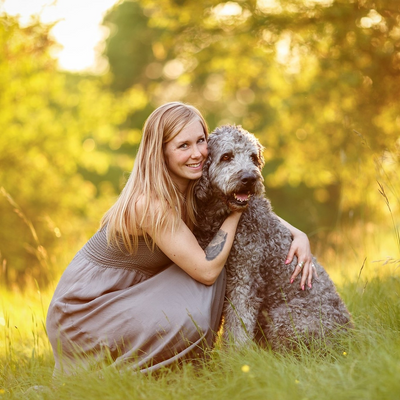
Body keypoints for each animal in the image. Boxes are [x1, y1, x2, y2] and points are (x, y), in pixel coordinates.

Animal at [194, 125, 354, 350]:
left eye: (253, 157)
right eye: (226, 156)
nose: (250, 178)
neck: (218, 217)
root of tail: (350, 334)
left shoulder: (244, 278)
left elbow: (238, 324)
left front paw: (236, 355)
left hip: (284, 318)